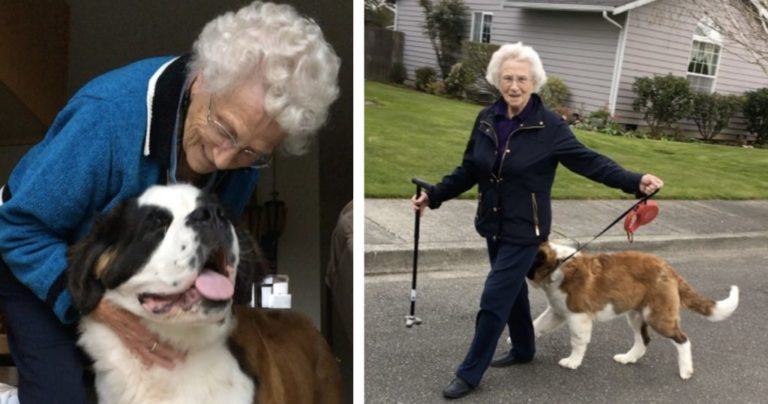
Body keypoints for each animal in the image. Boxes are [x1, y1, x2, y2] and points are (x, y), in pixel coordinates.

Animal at [520, 243, 736, 378]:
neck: (557, 265)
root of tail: (669, 269)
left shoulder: (577, 315)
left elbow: (578, 340)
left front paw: (573, 362)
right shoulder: (557, 312)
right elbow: (537, 324)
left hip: (657, 316)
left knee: (682, 340)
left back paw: (686, 371)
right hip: (636, 314)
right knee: (643, 340)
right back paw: (628, 358)